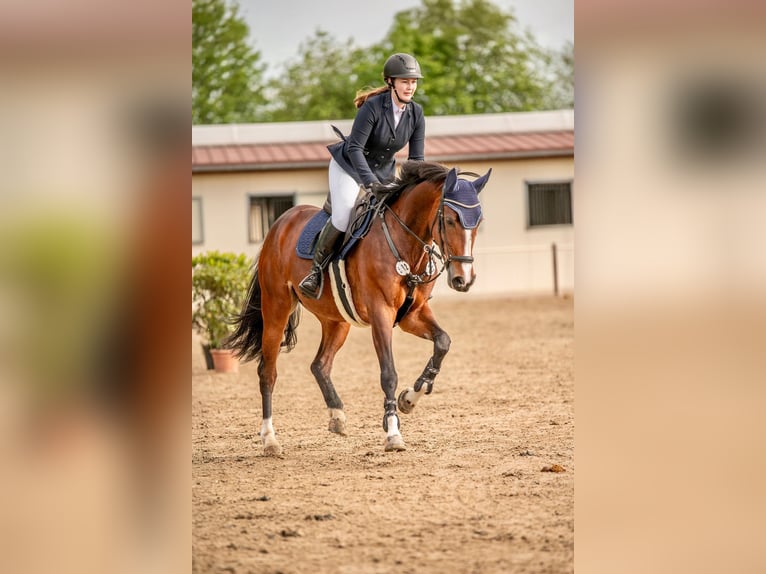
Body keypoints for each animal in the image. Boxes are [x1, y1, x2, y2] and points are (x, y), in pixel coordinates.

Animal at [226, 160, 491, 455]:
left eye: (478, 222)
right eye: (449, 220)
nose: (463, 280)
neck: (404, 243)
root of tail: (280, 224)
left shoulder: (413, 314)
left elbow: (443, 342)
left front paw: (411, 397)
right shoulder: (381, 313)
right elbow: (388, 373)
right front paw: (393, 433)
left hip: (336, 320)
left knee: (320, 364)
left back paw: (337, 417)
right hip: (276, 309)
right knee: (268, 372)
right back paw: (270, 439)